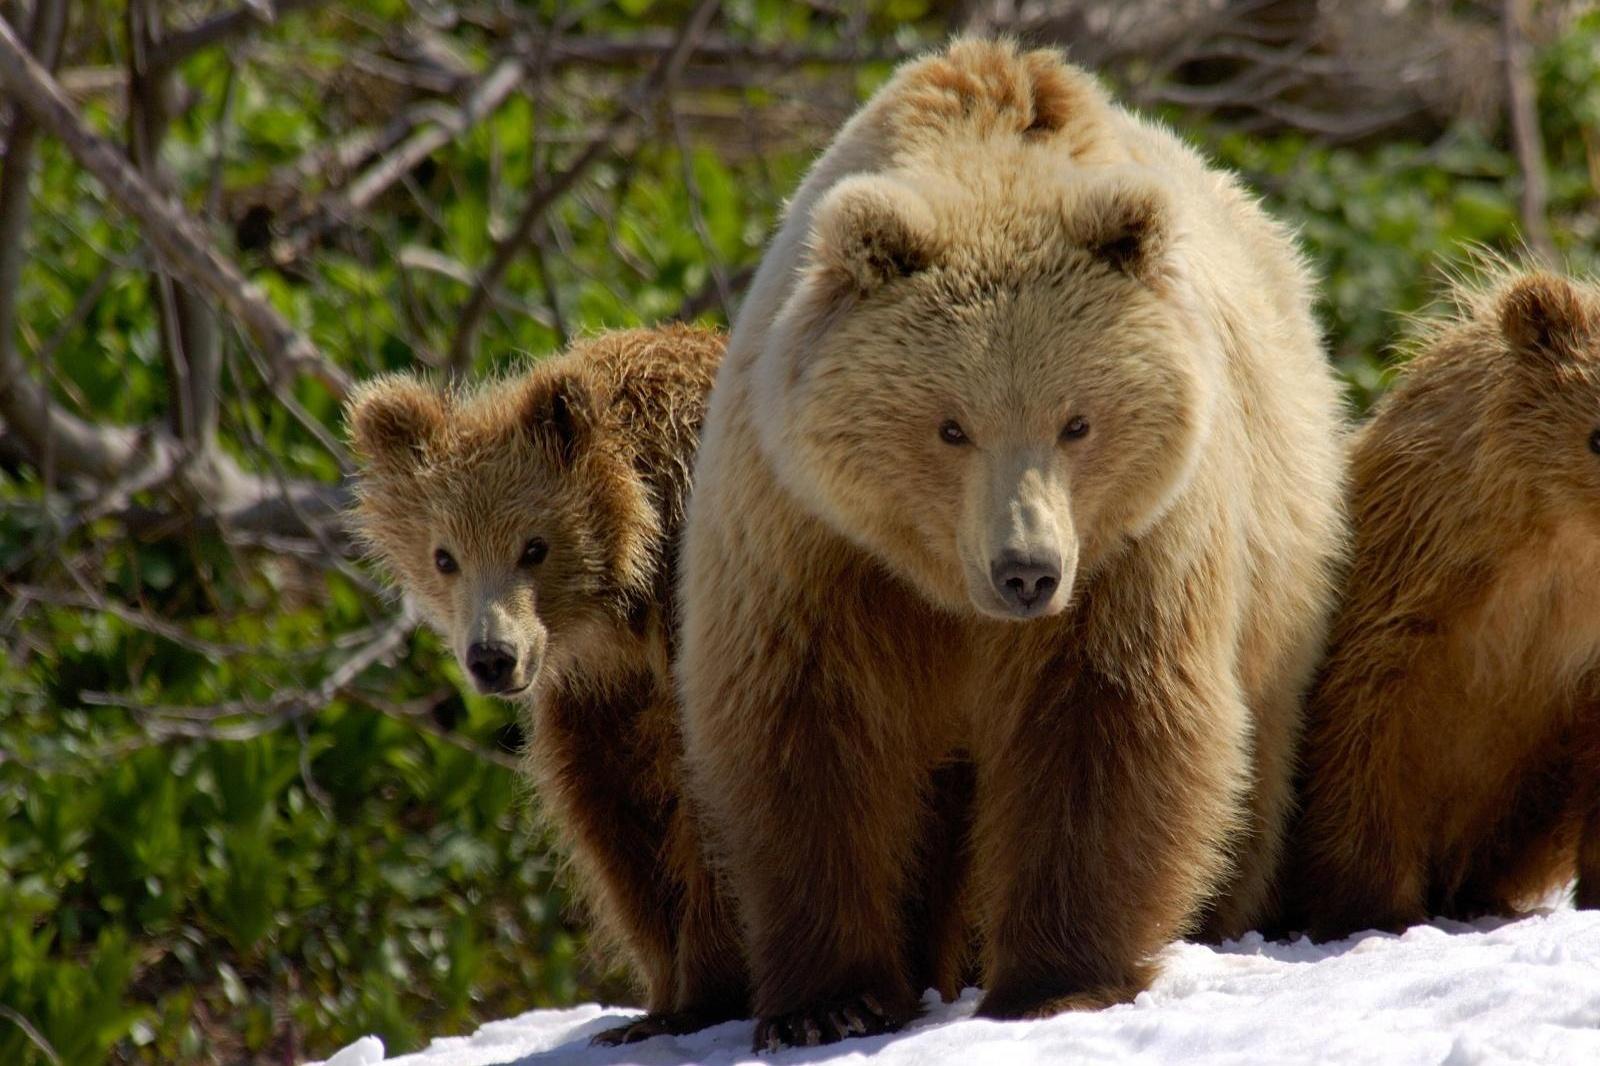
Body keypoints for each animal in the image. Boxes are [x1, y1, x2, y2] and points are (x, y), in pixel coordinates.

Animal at [347, 323, 745, 1037]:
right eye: (445, 556)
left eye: (534, 546)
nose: (492, 657)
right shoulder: (598, 697)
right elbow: (613, 817)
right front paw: (657, 998)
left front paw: (703, 996)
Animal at [678, 35, 1350, 1043]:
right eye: (950, 426)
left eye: (1077, 421)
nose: (1025, 570)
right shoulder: (812, 542)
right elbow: (808, 735)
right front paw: (828, 1003)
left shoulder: (1134, 547)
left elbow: (1104, 723)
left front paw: (1056, 980)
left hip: (1280, 568)